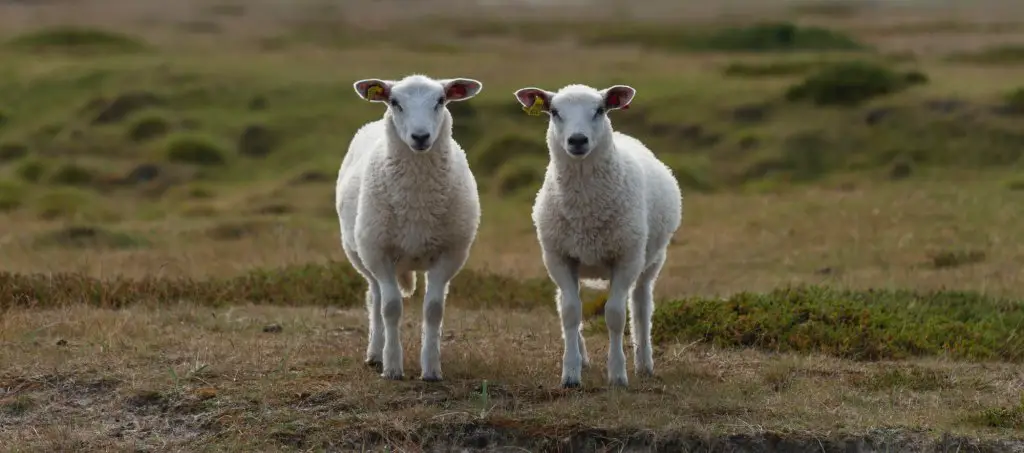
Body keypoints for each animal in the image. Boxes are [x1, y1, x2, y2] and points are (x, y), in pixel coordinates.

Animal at [333, 74, 481, 381]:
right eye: (394, 102)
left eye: (441, 100)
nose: (421, 136)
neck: (417, 201)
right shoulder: (379, 253)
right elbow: (390, 308)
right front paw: (392, 367)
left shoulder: (450, 254)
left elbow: (434, 310)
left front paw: (431, 368)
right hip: (362, 255)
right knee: (375, 298)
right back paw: (375, 353)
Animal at [512, 83, 679, 387]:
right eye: (554, 112)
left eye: (600, 110)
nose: (577, 140)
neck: (585, 209)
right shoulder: (559, 257)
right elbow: (570, 312)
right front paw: (570, 373)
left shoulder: (626, 258)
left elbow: (615, 315)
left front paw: (617, 374)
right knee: (564, 302)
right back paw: (583, 356)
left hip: (651, 259)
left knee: (641, 304)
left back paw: (644, 362)